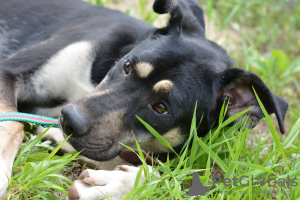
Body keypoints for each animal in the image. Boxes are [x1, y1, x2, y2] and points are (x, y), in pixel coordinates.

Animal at [0, 0, 288, 198]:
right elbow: (13, 124)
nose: (69, 120)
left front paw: (115, 185)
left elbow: (164, 174)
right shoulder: (9, 71)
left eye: (160, 108)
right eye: (127, 66)